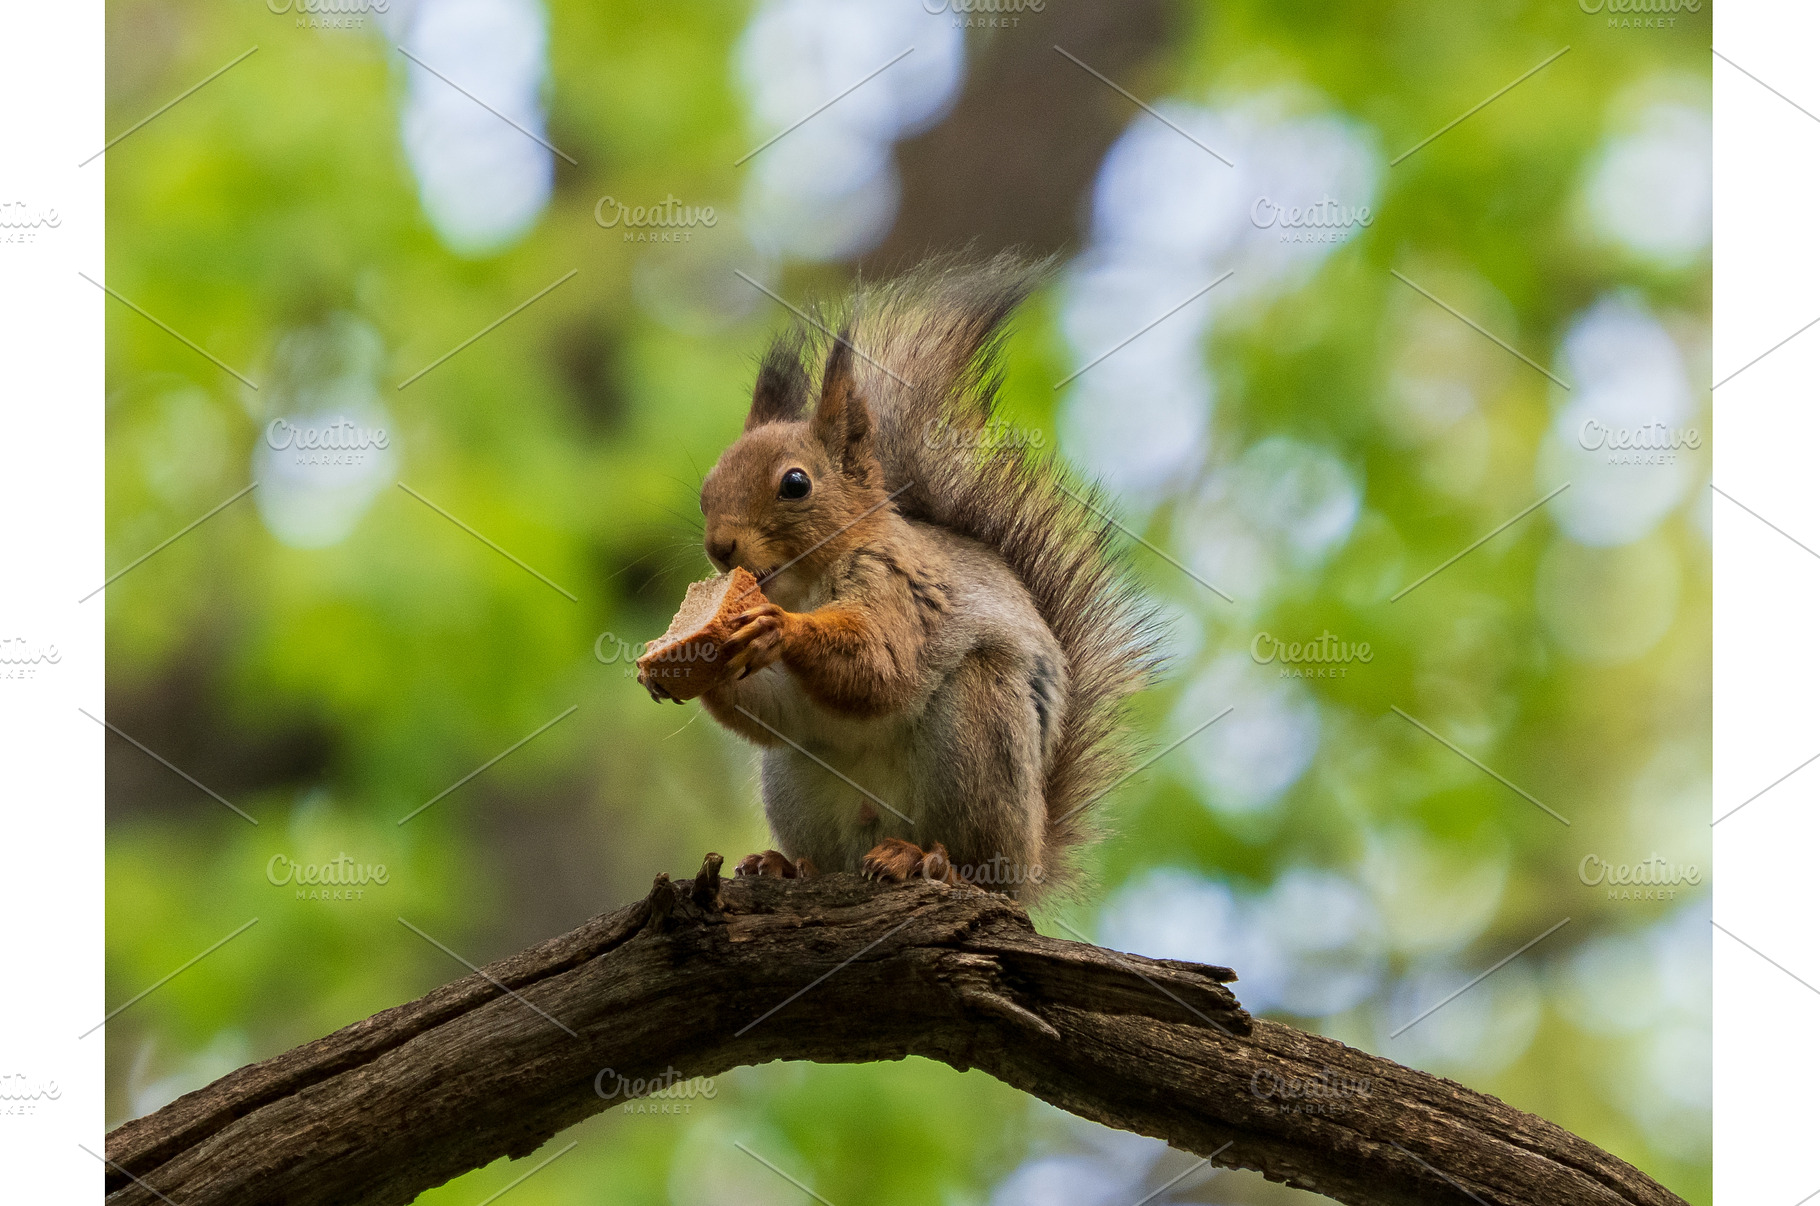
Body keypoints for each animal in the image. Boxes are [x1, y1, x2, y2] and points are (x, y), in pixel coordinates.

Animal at [692, 254, 1160, 899]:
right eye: (707, 488)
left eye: (795, 483)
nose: (719, 548)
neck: (806, 583)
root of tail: (1031, 862)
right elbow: (778, 712)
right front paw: (698, 660)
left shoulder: (901, 589)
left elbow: (880, 666)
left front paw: (779, 626)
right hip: (794, 782)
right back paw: (787, 865)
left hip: (981, 728)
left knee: (975, 861)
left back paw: (927, 861)